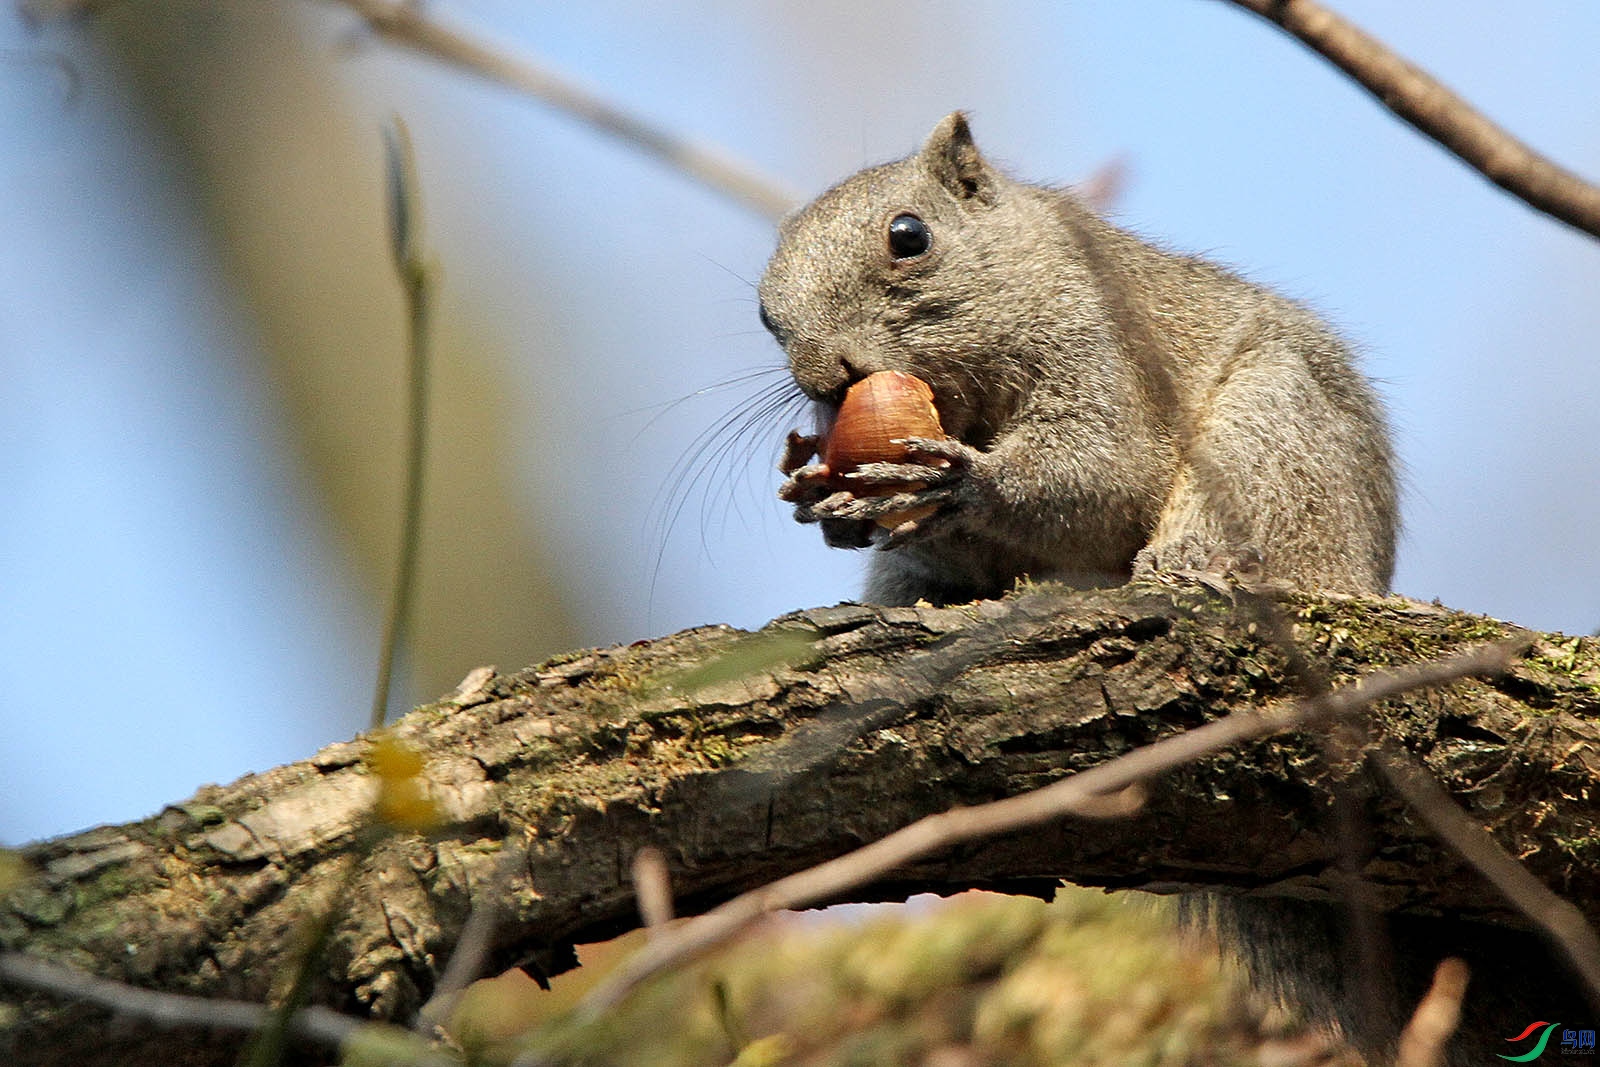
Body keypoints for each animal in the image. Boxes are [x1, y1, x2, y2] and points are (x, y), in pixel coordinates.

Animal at [761, 112, 1587, 1062]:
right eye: (764, 314)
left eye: (909, 236)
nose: (823, 377)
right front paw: (820, 497)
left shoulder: (1106, 353)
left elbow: (1103, 474)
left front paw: (954, 479)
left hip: (1271, 449)